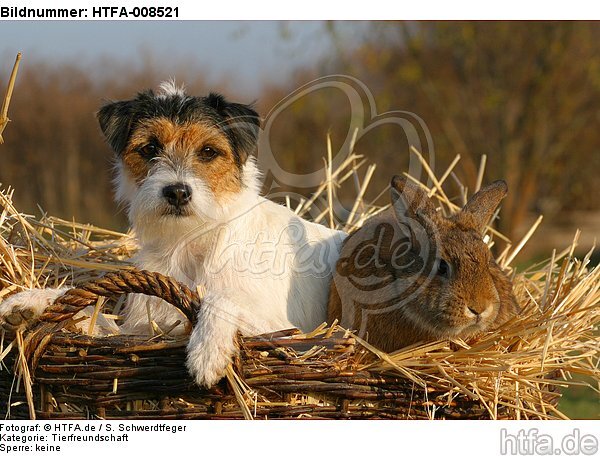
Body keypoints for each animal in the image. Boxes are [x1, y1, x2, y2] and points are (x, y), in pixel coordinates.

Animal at [0, 81, 346, 384]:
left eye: (208, 151)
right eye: (150, 147)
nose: (177, 192)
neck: (189, 241)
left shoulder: (289, 330)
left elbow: (220, 298)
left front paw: (207, 352)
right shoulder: (144, 328)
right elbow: (92, 315)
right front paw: (31, 302)